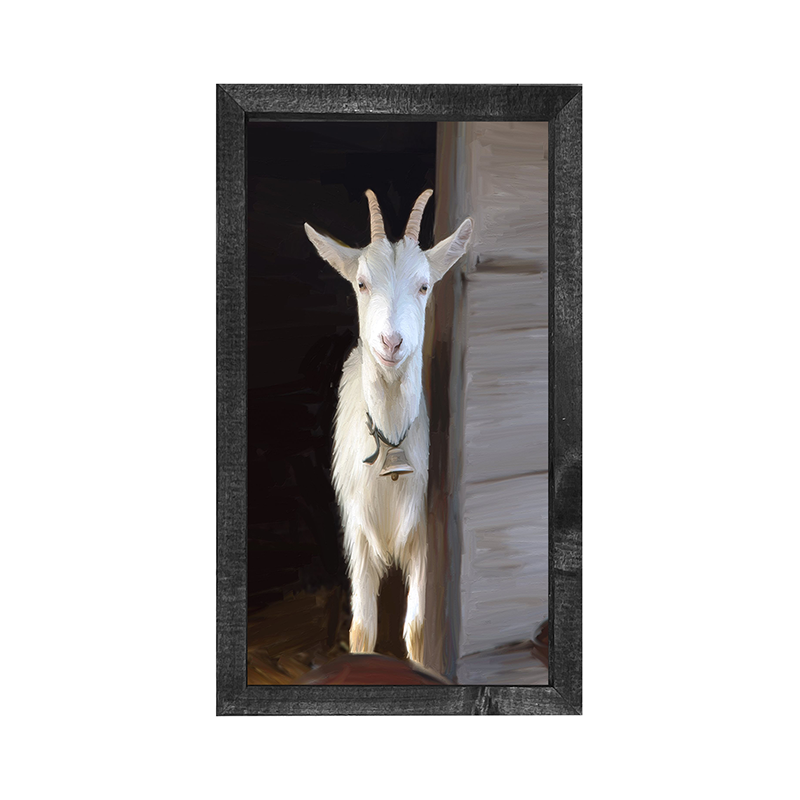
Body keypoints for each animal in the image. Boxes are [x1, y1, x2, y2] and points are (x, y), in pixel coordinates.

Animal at [305, 189, 472, 663]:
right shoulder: (357, 532)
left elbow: (417, 629)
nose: (391, 343)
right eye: (361, 283)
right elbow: (362, 629)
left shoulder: (423, 537)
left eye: (424, 285)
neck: (389, 442)